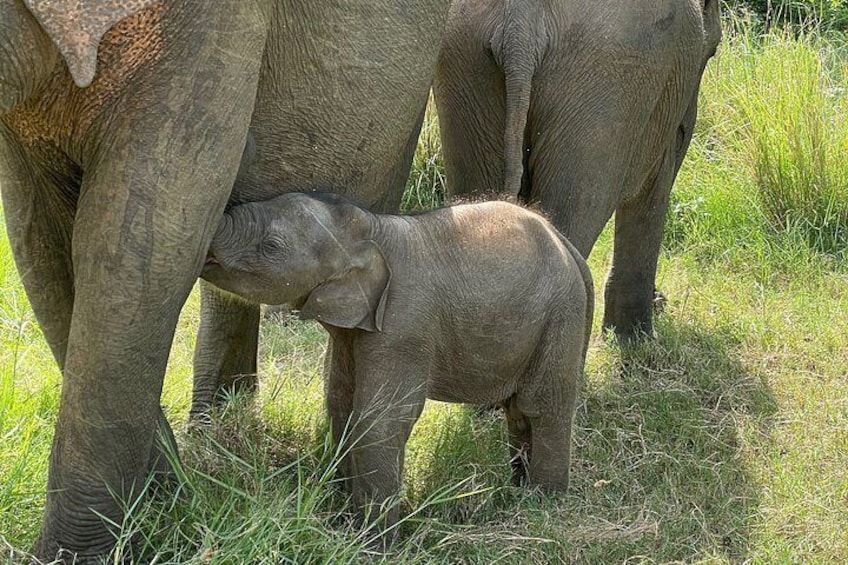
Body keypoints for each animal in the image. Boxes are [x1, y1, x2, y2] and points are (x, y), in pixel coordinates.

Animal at [201, 191, 594, 525]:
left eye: (271, 247)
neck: (367, 227)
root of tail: (567, 246)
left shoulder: (403, 326)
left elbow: (378, 419)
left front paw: (372, 542)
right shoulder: (354, 330)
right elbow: (341, 405)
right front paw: (343, 515)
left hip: (561, 316)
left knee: (541, 405)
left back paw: (542, 503)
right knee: (517, 410)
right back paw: (517, 490)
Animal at [433, 0, 722, 340]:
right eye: (713, 51)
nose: (662, 299)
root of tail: (520, 21)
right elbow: (656, 186)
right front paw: (638, 337)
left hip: (464, 64)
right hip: (606, 80)